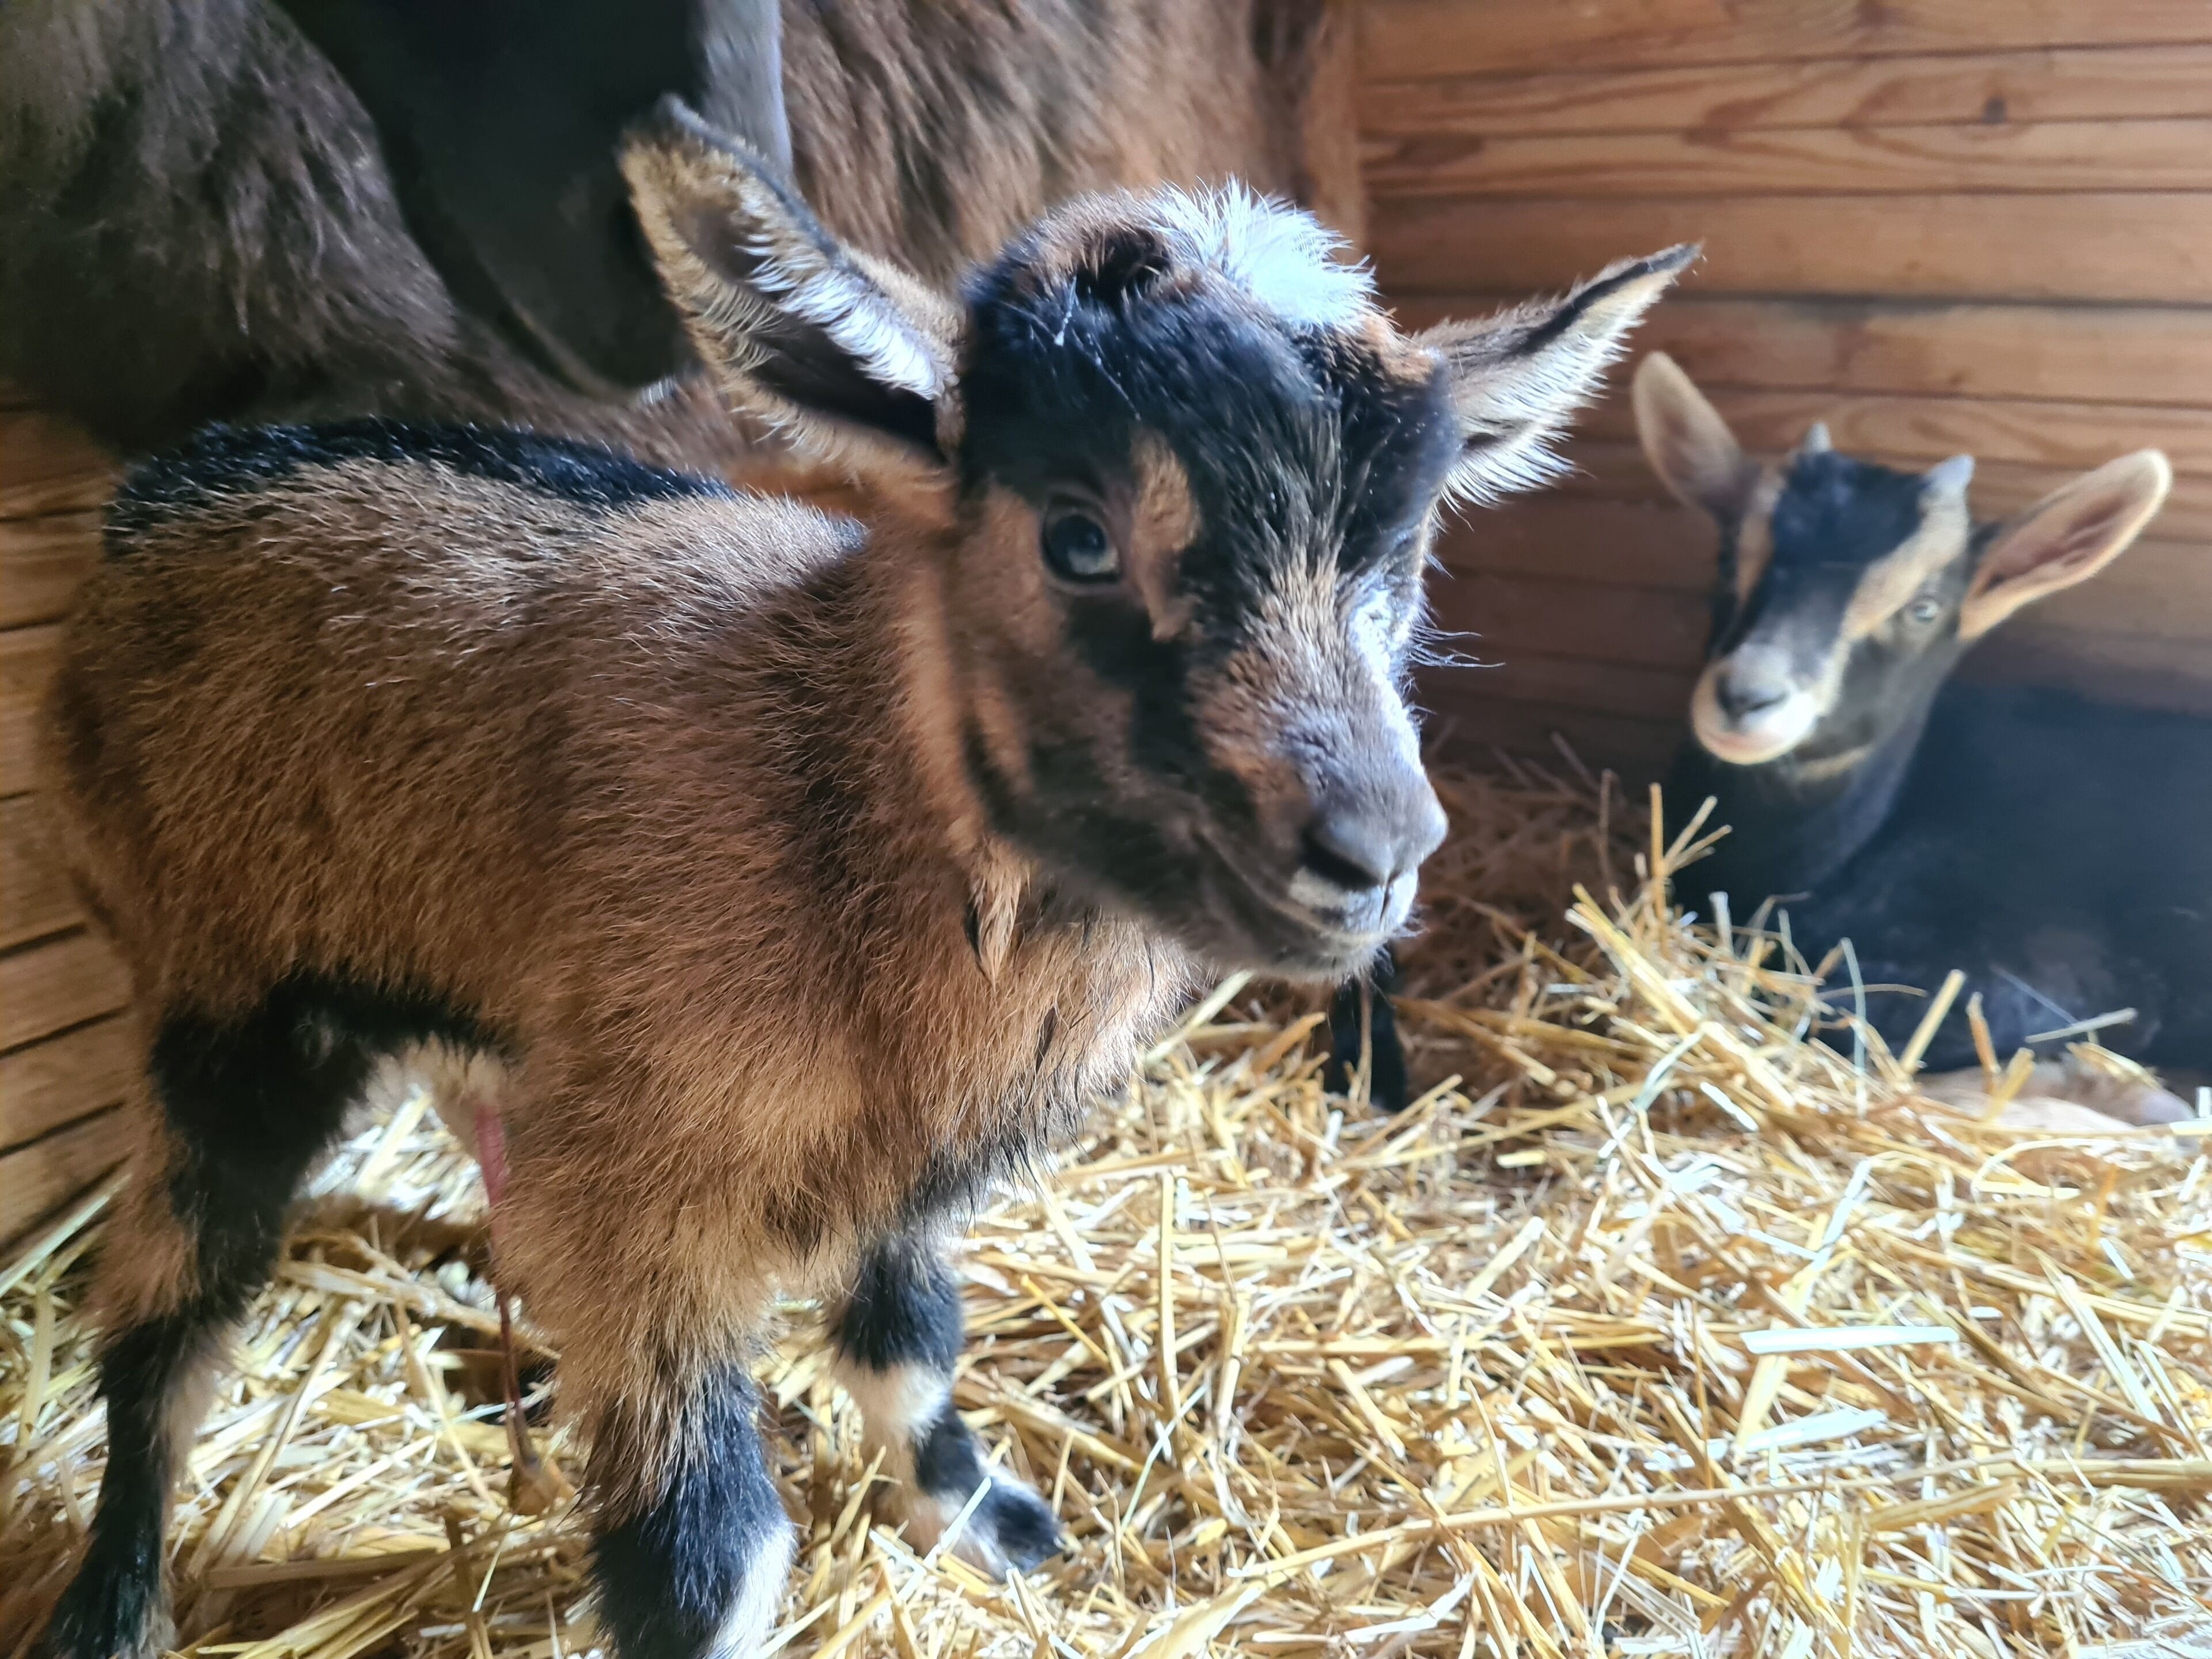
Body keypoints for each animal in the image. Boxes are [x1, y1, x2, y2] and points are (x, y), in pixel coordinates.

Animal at [35, 100, 1690, 1659]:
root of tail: (164, 485)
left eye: (1398, 562)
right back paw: (110, 1600)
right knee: (163, 1326)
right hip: (222, 991)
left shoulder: (900, 1159)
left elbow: (911, 1343)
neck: (836, 793)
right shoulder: (642, 1194)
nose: (1374, 851)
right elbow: (708, 1559)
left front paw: (979, 1517)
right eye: (1076, 536)